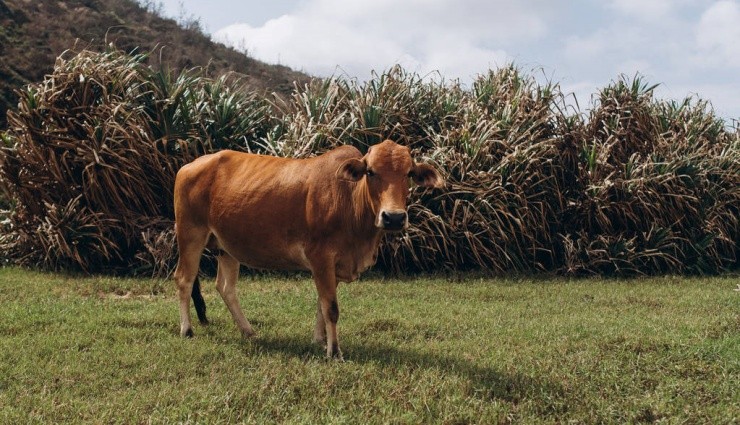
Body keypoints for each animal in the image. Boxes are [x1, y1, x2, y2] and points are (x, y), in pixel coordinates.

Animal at [171, 139, 442, 358]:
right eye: (371, 172)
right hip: (190, 234)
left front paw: (320, 341)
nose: (394, 218)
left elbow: (322, 303)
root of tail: (190, 165)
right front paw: (334, 351)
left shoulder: (334, 266)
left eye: (408, 173)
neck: (349, 199)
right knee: (184, 279)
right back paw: (187, 329)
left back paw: (248, 331)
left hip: (227, 247)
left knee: (226, 287)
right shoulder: (320, 258)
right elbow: (331, 307)